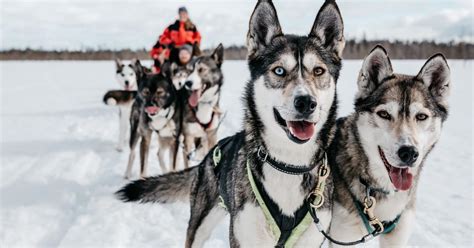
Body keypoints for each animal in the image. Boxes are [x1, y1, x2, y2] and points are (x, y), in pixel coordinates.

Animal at [115, 0, 344, 247]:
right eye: (279, 70)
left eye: (318, 71)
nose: (306, 103)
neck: (288, 165)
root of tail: (209, 155)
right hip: (199, 225)